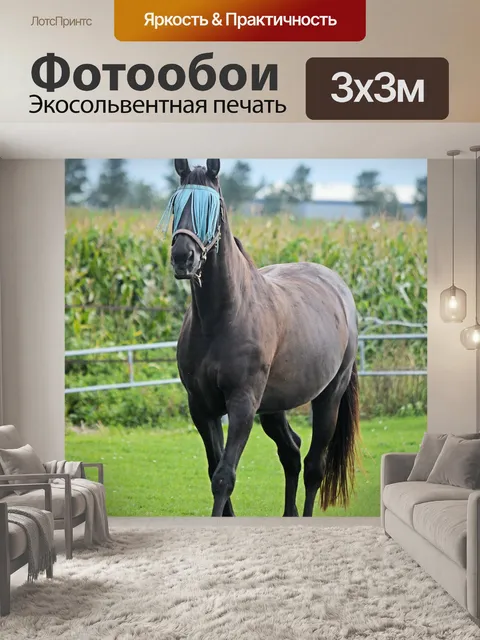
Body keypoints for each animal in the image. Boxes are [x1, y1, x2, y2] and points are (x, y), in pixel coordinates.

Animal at [162, 158, 360, 517]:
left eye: (213, 206)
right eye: (175, 204)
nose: (183, 257)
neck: (222, 317)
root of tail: (339, 288)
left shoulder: (242, 405)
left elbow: (224, 477)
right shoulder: (201, 407)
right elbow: (214, 469)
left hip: (328, 399)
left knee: (314, 466)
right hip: (273, 408)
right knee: (291, 453)